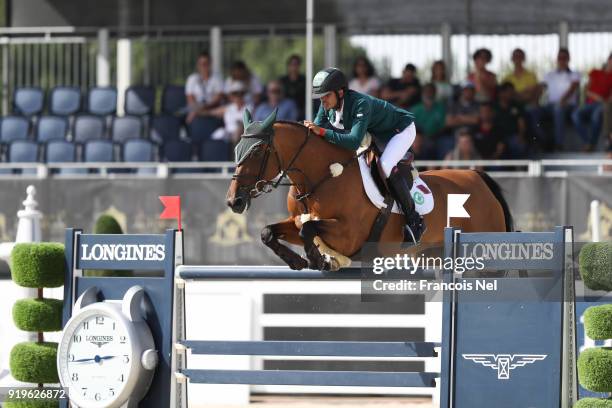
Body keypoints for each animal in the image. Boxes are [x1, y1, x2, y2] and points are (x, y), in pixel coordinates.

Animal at [225, 110, 512, 272]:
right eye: (237, 148)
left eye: (257, 151)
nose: (233, 201)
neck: (321, 177)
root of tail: (477, 177)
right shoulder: (296, 221)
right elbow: (269, 232)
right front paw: (298, 261)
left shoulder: (349, 234)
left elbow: (309, 229)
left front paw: (319, 260)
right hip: (433, 256)